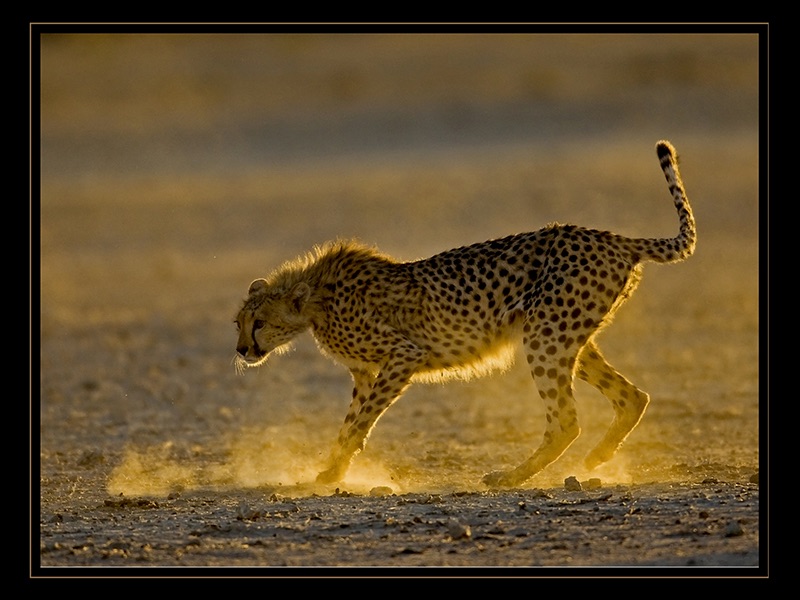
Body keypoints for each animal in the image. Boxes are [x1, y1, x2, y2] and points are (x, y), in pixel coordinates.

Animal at [234, 140, 696, 488]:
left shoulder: (404, 354)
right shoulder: (366, 373)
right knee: (632, 396)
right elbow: (349, 424)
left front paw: (333, 471)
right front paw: (333, 466)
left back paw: (512, 476)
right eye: (238, 324)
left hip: (546, 335)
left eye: (259, 323)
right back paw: (597, 457)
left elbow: (361, 421)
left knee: (566, 420)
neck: (315, 299)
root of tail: (613, 237)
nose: (241, 350)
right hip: (562, 334)